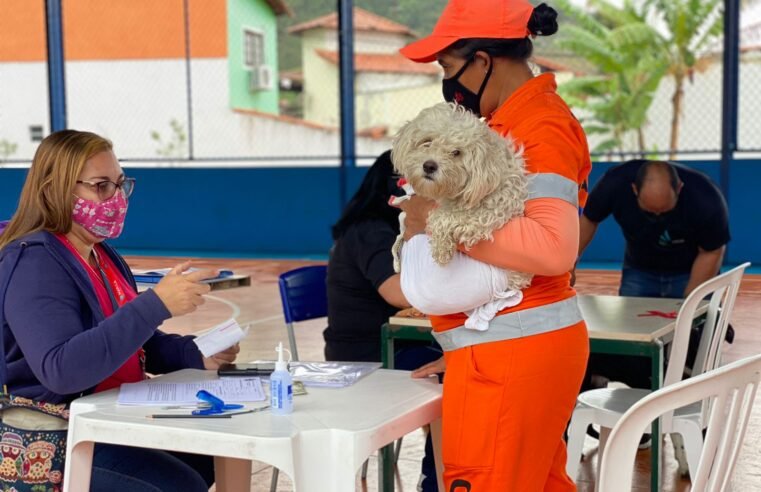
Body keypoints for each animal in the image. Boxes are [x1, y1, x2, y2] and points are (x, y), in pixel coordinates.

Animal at [388, 101, 532, 292]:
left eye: (456, 152)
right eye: (427, 141)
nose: (429, 166)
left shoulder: (492, 210)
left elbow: (443, 217)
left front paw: (441, 248)